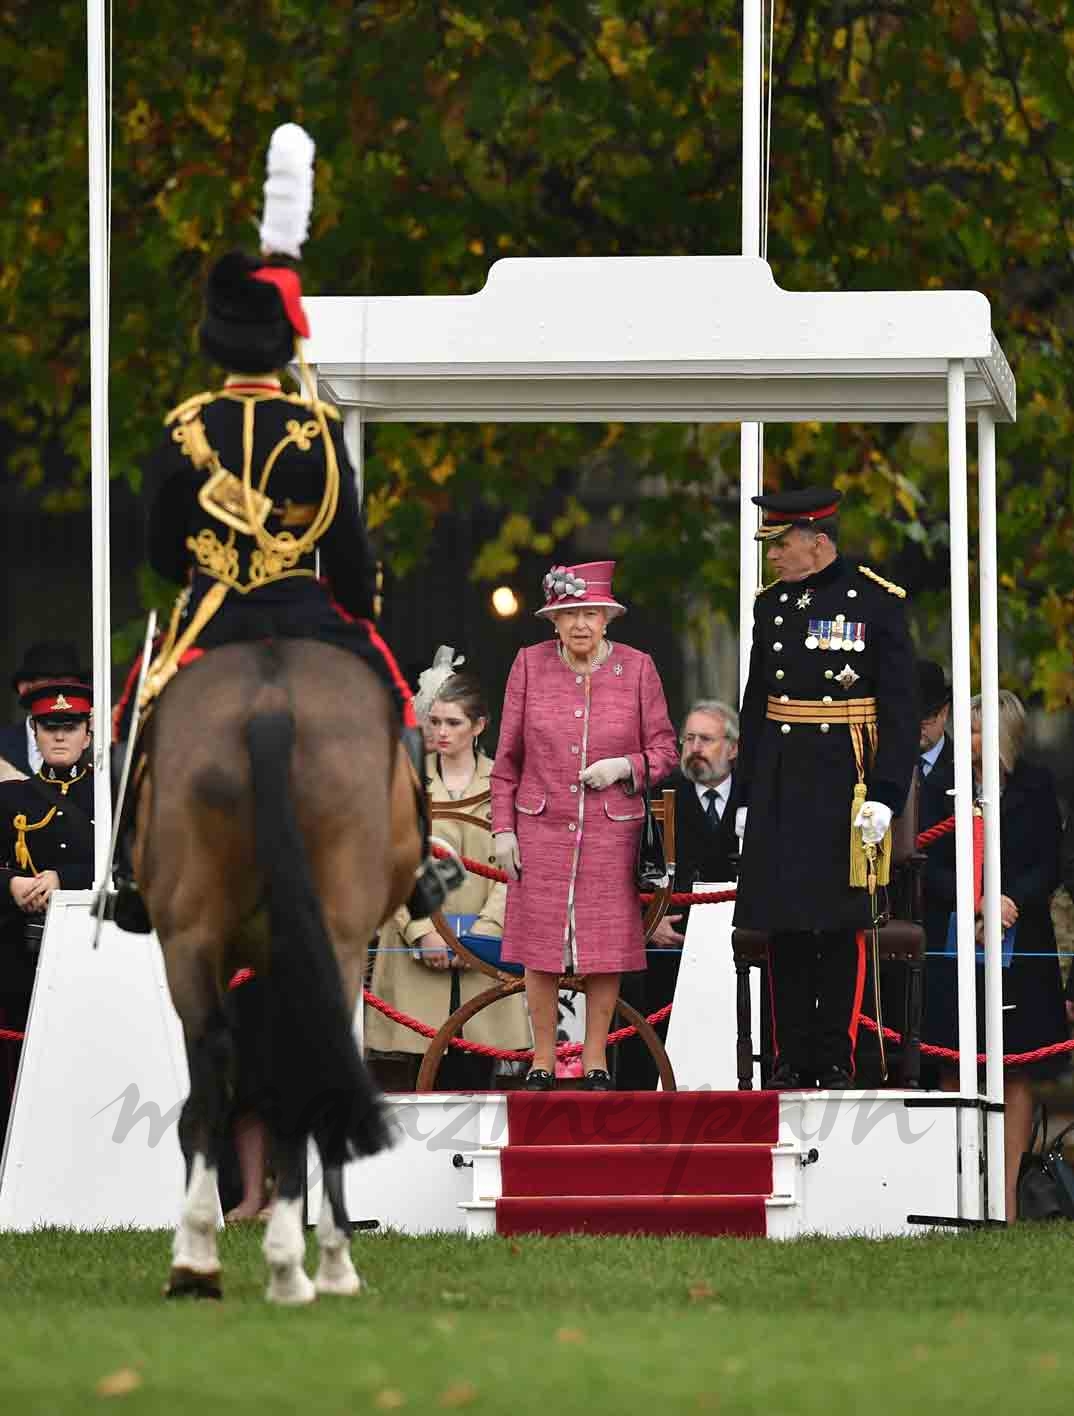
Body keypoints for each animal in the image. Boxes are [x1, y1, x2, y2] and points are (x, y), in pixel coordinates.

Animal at [131, 642, 419, 1302]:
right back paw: (298, 1265)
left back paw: (201, 1259)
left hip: (190, 940)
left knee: (214, 1073)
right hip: (328, 945)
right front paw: (327, 1257)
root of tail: (268, 699)